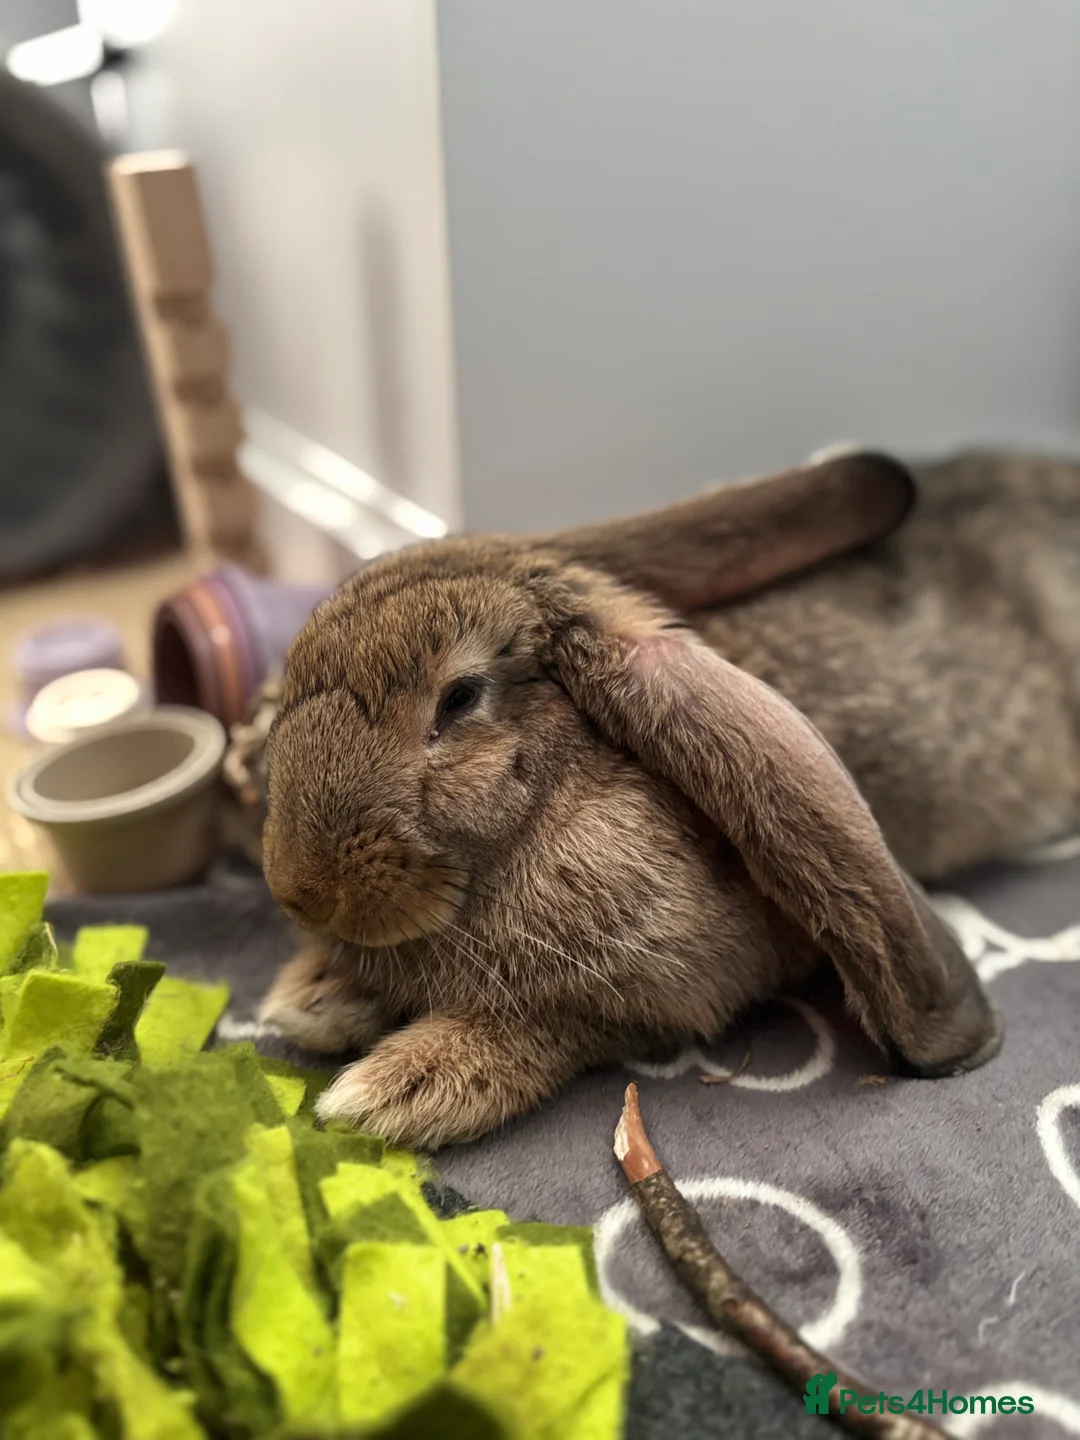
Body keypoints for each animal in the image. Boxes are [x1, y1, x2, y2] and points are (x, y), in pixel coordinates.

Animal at [257, 447, 1079, 1147]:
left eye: (459, 699)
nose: (301, 892)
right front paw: (314, 999)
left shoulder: (667, 993)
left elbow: (545, 1029)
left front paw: (392, 1090)